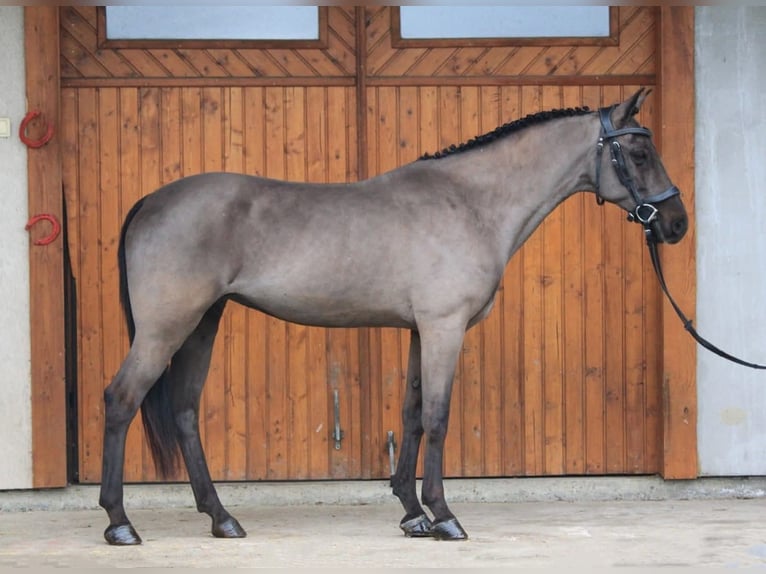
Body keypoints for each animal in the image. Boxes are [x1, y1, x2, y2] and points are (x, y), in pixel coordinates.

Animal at [98, 88, 688, 545]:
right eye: (638, 152)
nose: (676, 223)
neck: (469, 202)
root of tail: (151, 200)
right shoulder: (444, 327)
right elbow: (437, 417)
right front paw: (444, 517)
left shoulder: (419, 331)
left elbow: (410, 413)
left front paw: (412, 514)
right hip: (166, 328)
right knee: (122, 400)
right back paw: (120, 523)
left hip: (202, 323)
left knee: (184, 412)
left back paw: (222, 519)